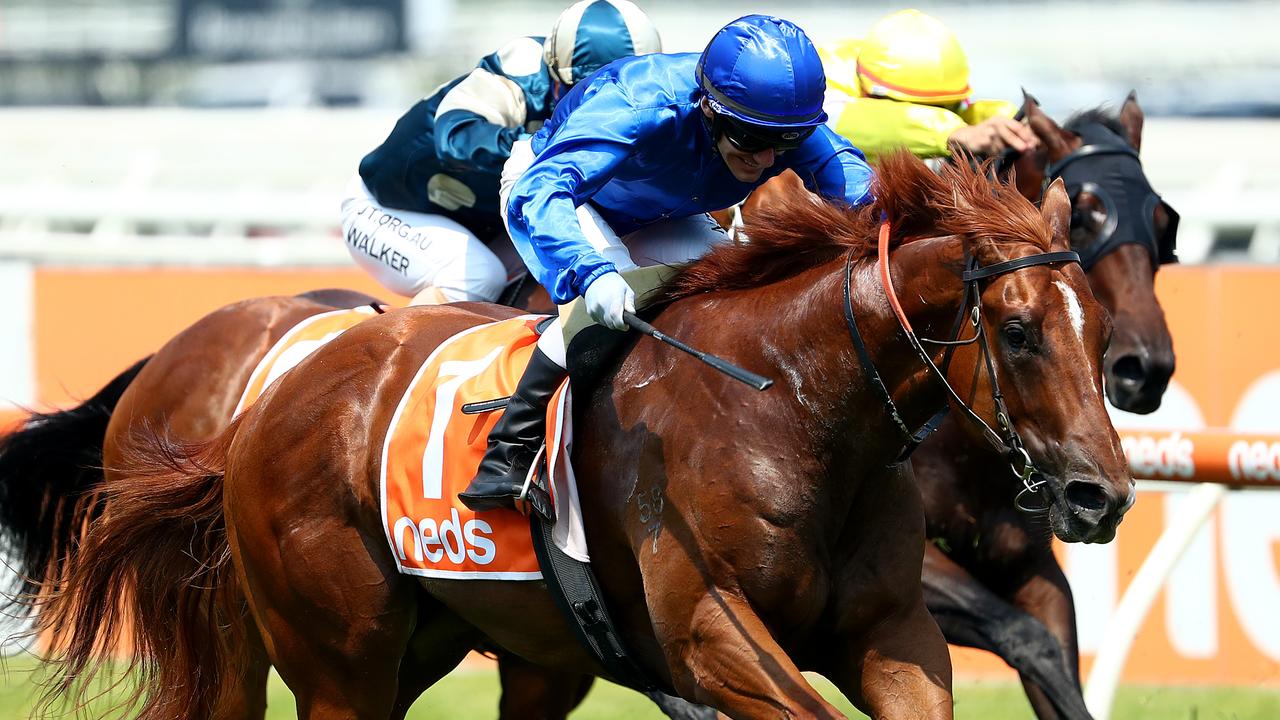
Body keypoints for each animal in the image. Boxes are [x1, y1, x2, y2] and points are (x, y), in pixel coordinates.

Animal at [37, 152, 1131, 717]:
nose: (1100, 495)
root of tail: (272, 397)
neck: (794, 408)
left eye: (1096, 326)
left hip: (443, 637)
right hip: (320, 645)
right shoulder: (705, 633)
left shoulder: (891, 631)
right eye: (1020, 331)